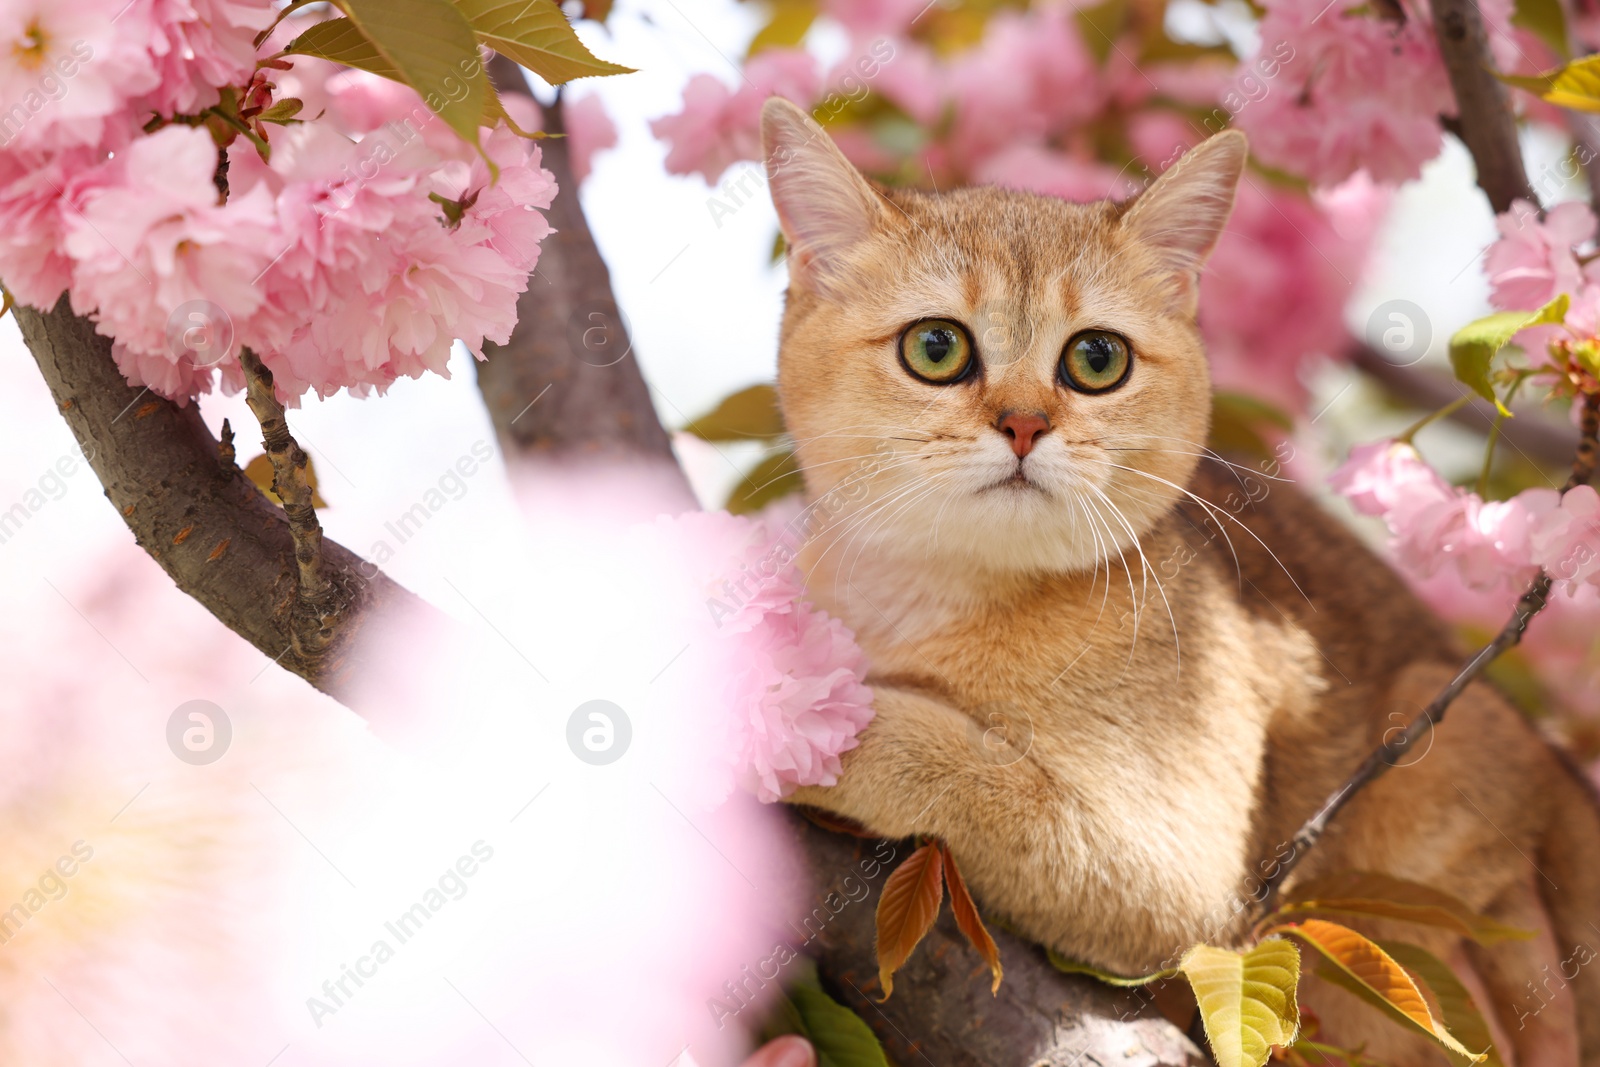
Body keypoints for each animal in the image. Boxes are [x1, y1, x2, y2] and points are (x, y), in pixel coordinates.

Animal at [758, 93, 1600, 1067]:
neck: (931, 598)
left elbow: (947, 753)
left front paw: (786, 716)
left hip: (1441, 747)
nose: (1023, 424)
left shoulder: (1177, 877)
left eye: (1097, 360)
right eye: (936, 347)